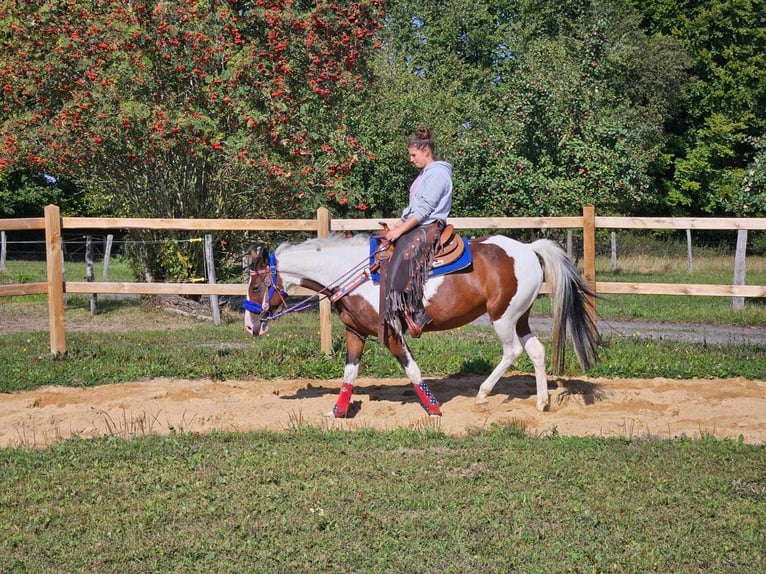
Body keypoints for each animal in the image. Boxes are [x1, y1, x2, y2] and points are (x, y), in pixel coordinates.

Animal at [246, 233, 600, 418]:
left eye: (255, 286)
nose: (251, 326)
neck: (358, 274)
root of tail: (527, 249)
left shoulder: (391, 334)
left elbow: (413, 370)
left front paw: (434, 409)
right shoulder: (355, 333)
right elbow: (349, 374)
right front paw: (337, 411)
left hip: (503, 317)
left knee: (511, 351)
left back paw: (483, 394)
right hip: (520, 316)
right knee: (536, 351)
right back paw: (541, 402)